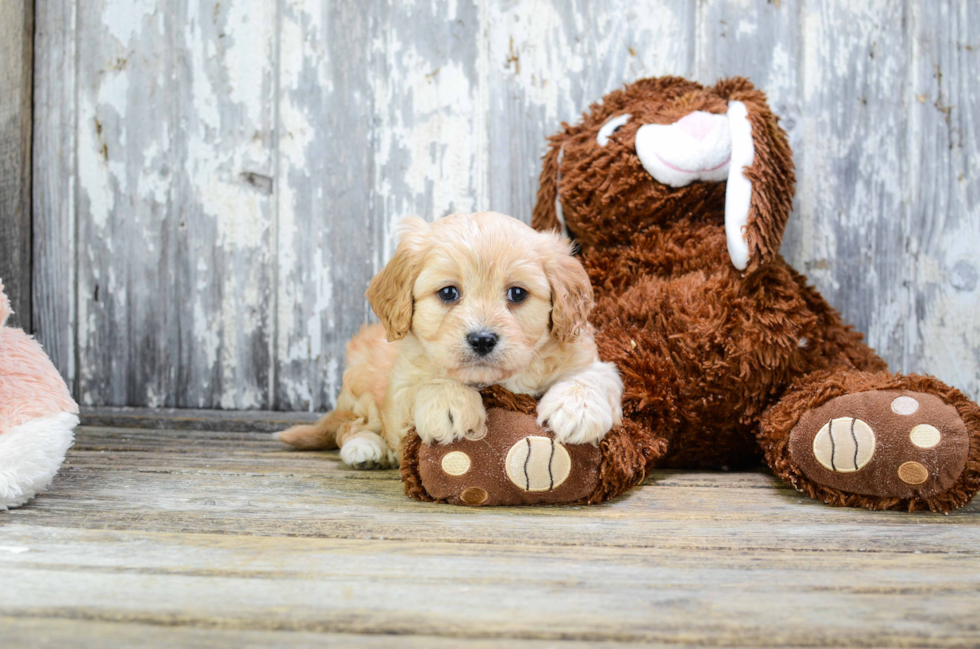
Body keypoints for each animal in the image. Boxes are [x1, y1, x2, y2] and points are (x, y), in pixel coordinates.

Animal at [276, 210, 620, 468]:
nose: (482, 339)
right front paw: (450, 402)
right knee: (350, 425)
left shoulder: (588, 357)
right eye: (448, 293)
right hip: (360, 381)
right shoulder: (400, 386)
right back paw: (365, 448)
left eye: (517, 293)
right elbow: (425, 382)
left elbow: (595, 376)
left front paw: (577, 410)